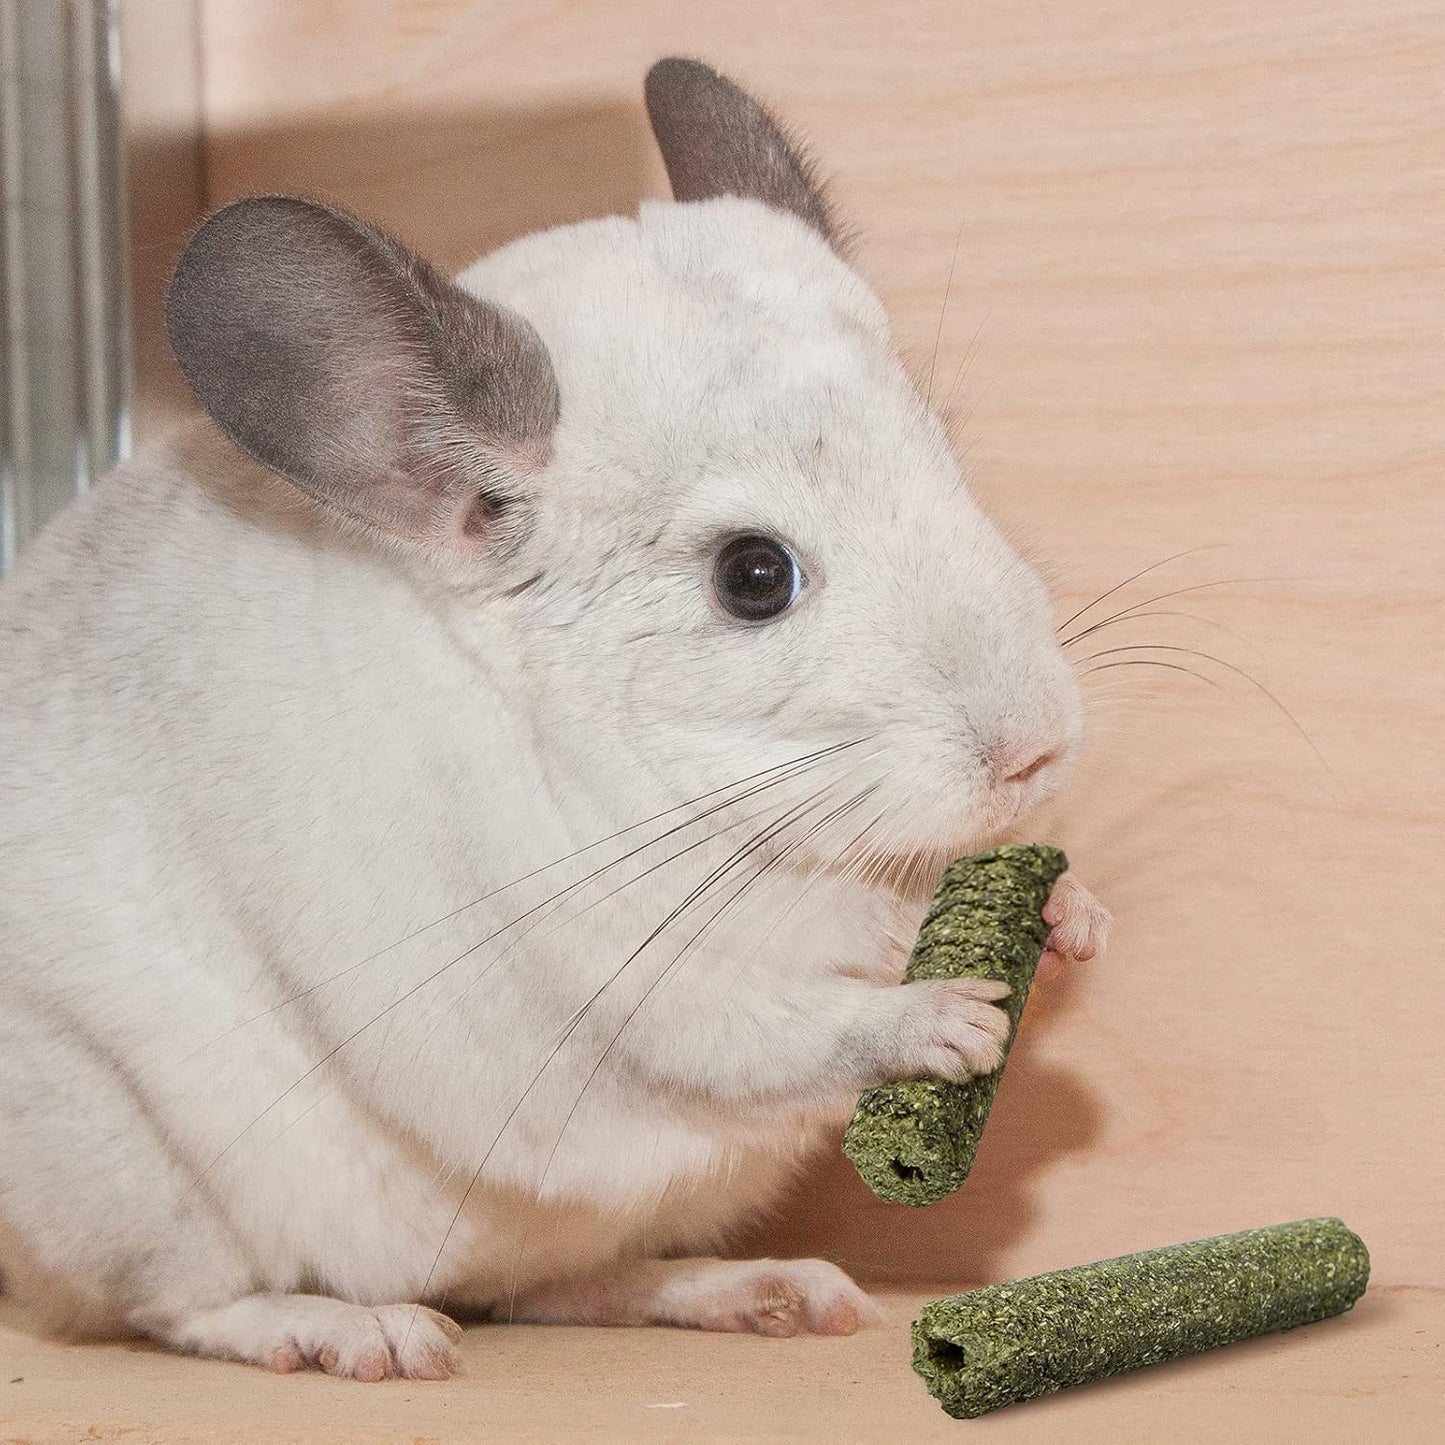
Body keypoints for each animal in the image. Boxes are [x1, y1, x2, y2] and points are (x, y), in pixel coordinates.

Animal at [0, 57, 1109, 1379]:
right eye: (752, 575)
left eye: (945, 461)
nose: (1037, 745)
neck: (740, 815)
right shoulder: (604, 984)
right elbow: (772, 1029)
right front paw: (941, 1018)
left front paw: (1071, 912)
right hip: (121, 1160)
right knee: (178, 1306)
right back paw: (358, 1331)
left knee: (551, 1288)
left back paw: (751, 1288)